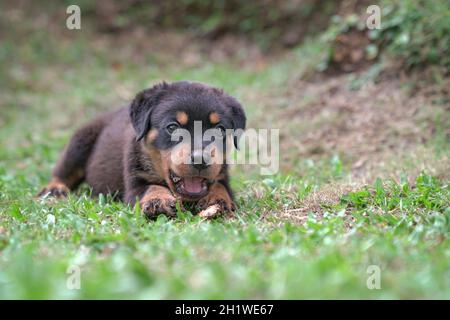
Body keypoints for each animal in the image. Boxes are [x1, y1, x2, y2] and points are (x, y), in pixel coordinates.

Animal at [38, 81, 246, 219]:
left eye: (220, 130)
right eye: (172, 127)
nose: (200, 159)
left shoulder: (222, 174)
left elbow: (220, 186)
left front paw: (217, 200)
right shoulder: (134, 182)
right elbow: (150, 187)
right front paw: (158, 201)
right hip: (79, 141)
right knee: (63, 171)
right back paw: (55, 189)